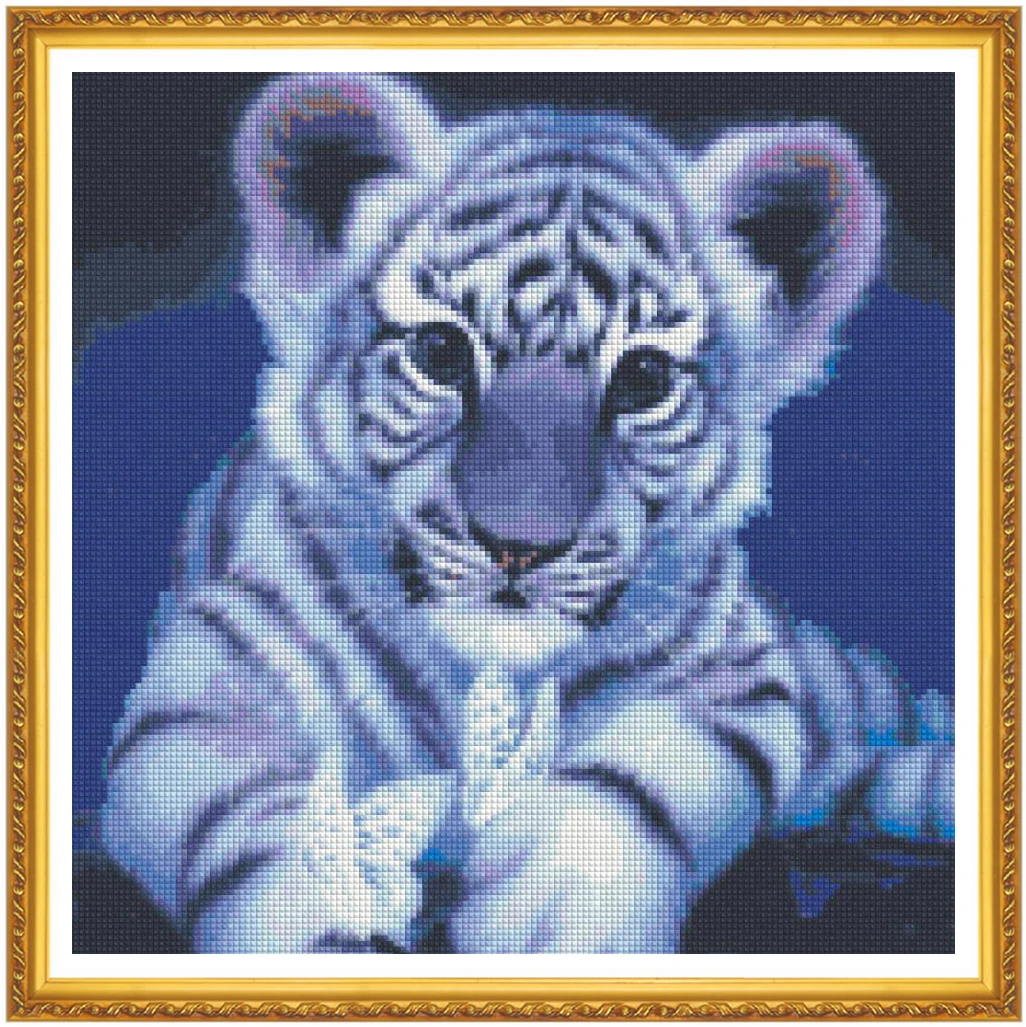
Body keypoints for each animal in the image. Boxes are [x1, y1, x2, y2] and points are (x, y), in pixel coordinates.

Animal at [101, 72, 954, 955]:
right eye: (441, 352)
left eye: (643, 377)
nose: (519, 546)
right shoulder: (203, 689)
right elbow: (267, 825)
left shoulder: (745, 670)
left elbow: (655, 763)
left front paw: (557, 909)